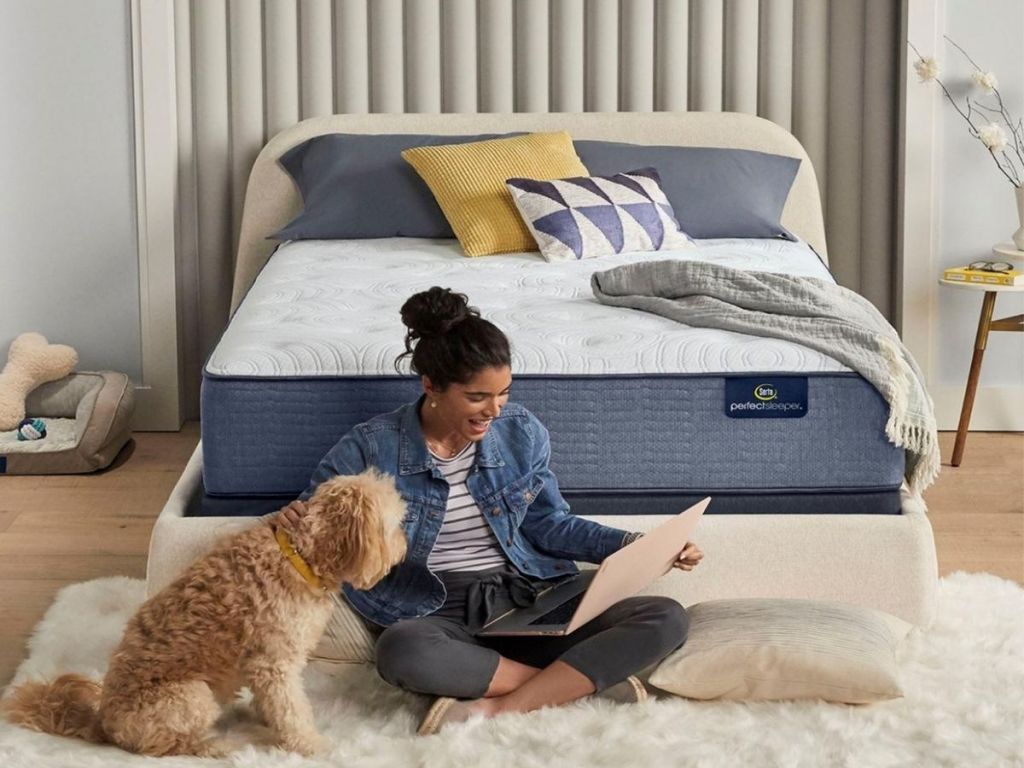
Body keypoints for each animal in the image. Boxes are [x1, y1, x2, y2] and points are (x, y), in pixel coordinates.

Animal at [2, 468, 405, 757]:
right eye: (395, 524)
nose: (404, 546)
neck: (297, 556)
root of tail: (103, 721)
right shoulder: (273, 664)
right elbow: (292, 711)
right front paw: (313, 746)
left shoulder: (264, 666)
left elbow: (275, 704)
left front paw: (266, 717)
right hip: (193, 694)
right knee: (164, 746)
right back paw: (218, 746)